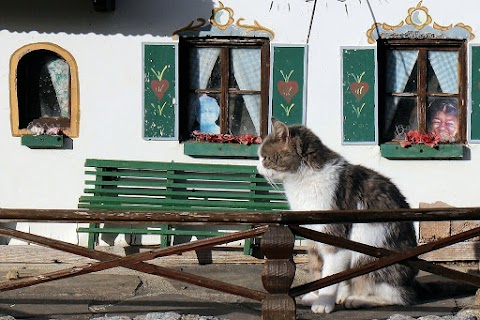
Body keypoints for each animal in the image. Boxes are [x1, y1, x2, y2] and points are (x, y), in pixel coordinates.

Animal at [256, 119, 418, 314]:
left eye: (265, 158)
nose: (257, 167)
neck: (302, 181)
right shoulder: (312, 239)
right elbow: (319, 271)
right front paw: (316, 296)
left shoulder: (335, 238)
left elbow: (330, 275)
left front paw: (323, 303)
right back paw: (343, 296)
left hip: (368, 256)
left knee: (399, 296)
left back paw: (357, 300)